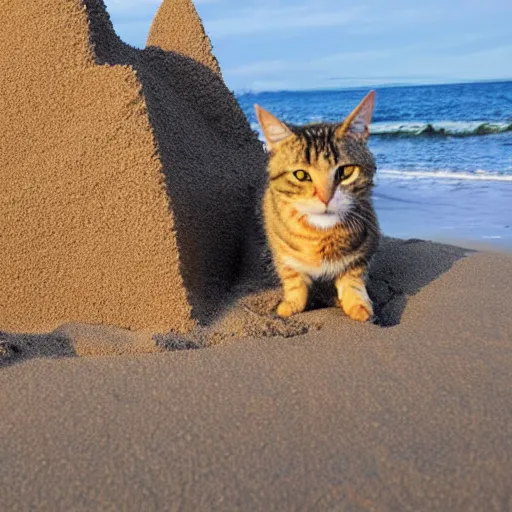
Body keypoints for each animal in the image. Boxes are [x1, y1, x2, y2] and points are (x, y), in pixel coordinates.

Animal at [256, 92, 380, 322]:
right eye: (301, 175)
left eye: (345, 171)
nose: (325, 197)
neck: (320, 236)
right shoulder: (280, 251)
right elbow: (293, 278)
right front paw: (290, 305)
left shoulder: (366, 245)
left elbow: (353, 277)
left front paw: (358, 304)